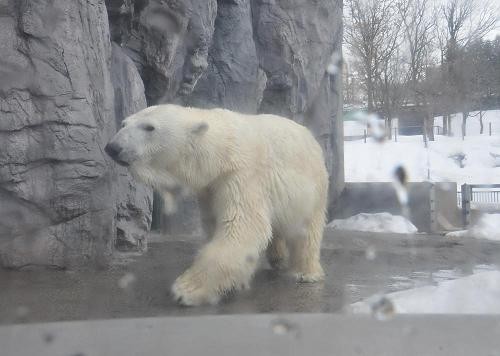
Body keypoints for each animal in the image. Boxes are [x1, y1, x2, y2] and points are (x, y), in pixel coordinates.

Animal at [105, 104, 328, 304]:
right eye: (124, 123)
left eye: (149, 127)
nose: (112, 148)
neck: (222, 151)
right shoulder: (210, 189)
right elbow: (217, 226)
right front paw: (237, 281)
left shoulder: (242, 176)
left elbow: (242, 228)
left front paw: (184, 290)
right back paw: (277, 258)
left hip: (313, 188)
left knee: (306, 231)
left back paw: (305, 272)